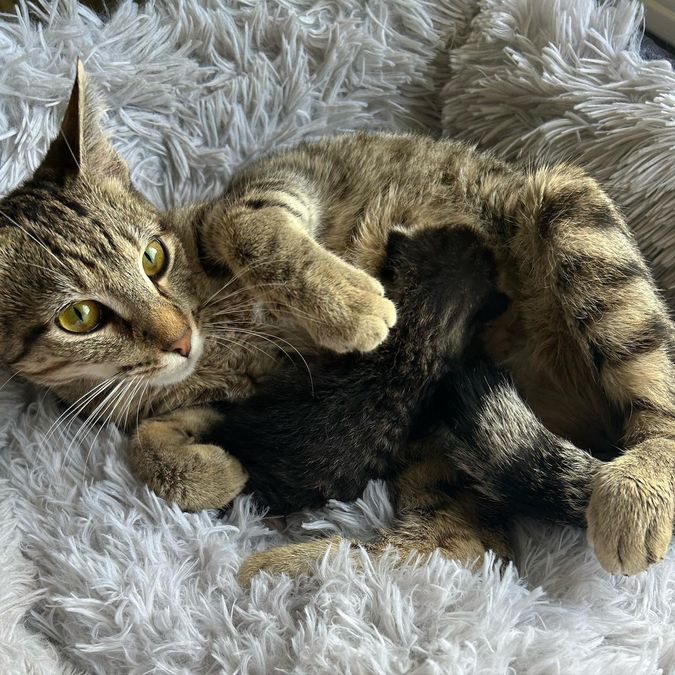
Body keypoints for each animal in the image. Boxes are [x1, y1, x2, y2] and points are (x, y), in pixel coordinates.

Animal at [2, 66, 672, 580]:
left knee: (656, 397)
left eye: (152, 258)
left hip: (576, 217)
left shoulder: (264, 189)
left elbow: (252, 225)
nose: (179, 336)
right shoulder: (229, 401)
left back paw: (637, 493)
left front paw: (351, 307)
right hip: (440, 444)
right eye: (79, 316)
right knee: (459, 550)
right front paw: (211, 473)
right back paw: (282, 570)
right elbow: (148, 444)